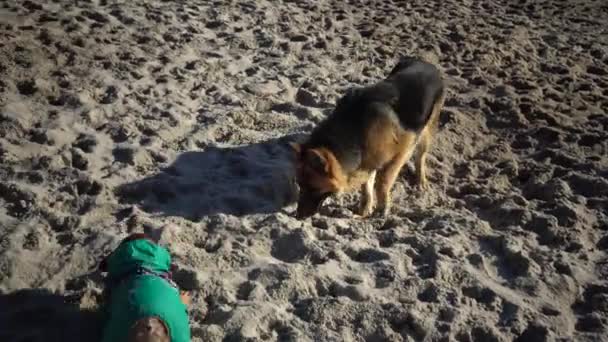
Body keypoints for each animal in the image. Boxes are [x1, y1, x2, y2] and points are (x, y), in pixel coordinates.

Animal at [292, 54, 444, 218]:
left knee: (420, 156)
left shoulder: (401, 152)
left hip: (427, 129)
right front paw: (365, 208)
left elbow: (382, 183)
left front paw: (382, 209)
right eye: (299, 185)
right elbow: (366, 185)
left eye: (312, 188)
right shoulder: (368, 159)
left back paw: (421, 180)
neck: (354, 128)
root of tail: (426, 63)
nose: (298, 216)